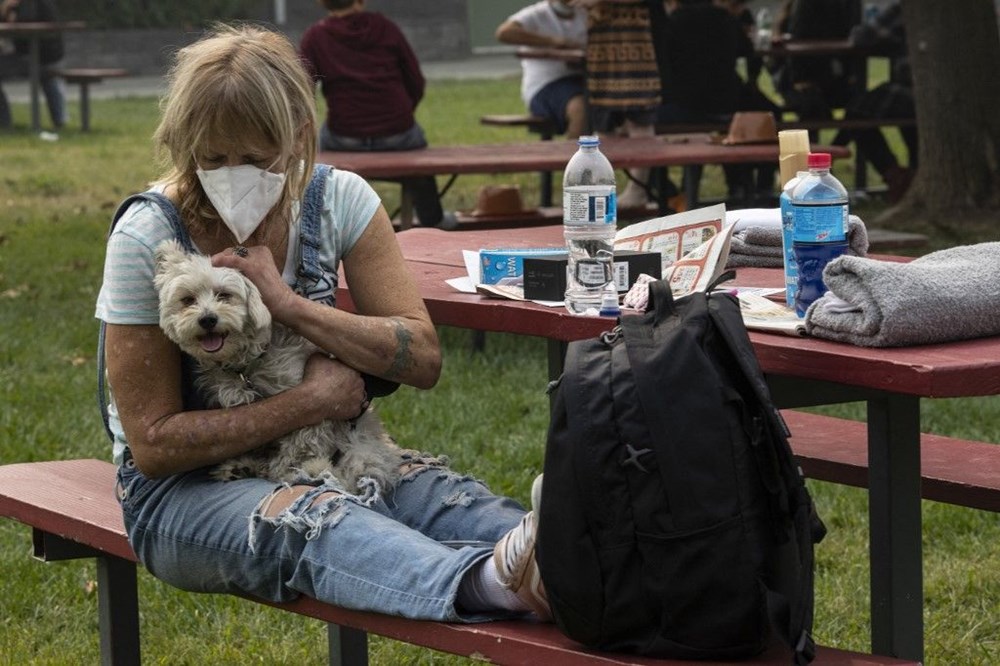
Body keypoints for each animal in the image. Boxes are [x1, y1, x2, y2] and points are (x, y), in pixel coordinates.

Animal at [152, 239, 406, 488]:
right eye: (188, 300)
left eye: (224, 295)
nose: (207, 319)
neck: (248, 364)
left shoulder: (315, 410)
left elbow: (297, 446)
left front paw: (287, 470)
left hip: (359, 442)